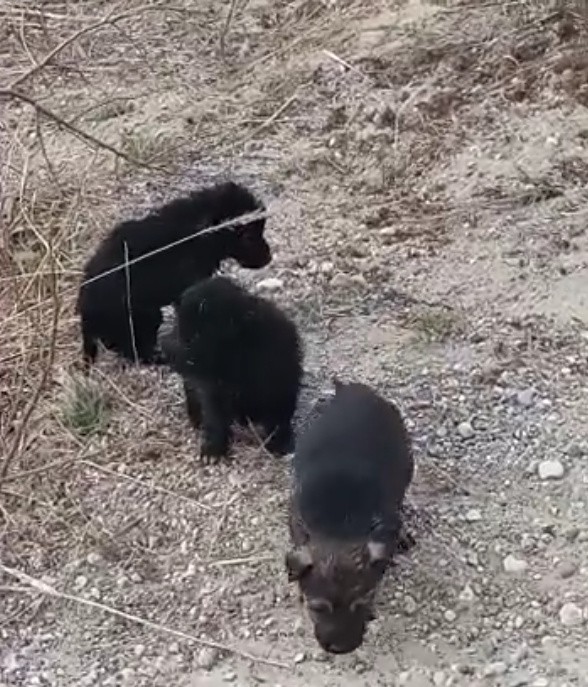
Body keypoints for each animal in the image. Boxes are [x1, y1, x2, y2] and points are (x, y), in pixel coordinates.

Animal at [76, 180, 272, 368]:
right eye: (248, 237)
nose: (269, 258)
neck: (199, 230)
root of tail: (86, 311)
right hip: (141, 317)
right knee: (133, 348)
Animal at [161, 274, 304, 462]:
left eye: (195, 337)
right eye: (181, 333)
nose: (166, 349)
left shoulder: (280, 375)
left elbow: (280, 413)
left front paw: (280, 442)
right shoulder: (213, 388)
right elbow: (215, 415)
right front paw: (213, 448)